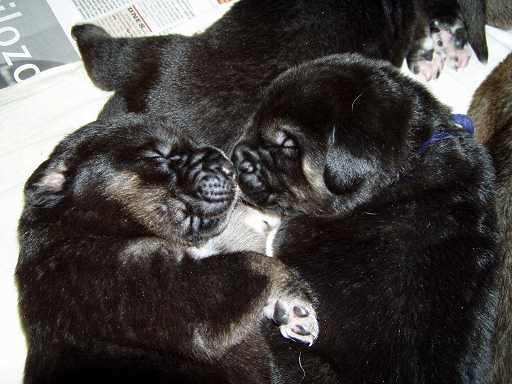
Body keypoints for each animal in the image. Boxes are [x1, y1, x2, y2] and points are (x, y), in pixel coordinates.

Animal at [16, 114, 318, 384]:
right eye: (157, 156)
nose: (228, 164)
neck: (85, 225)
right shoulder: (161, 287)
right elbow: (254, 262)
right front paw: (295, 300)